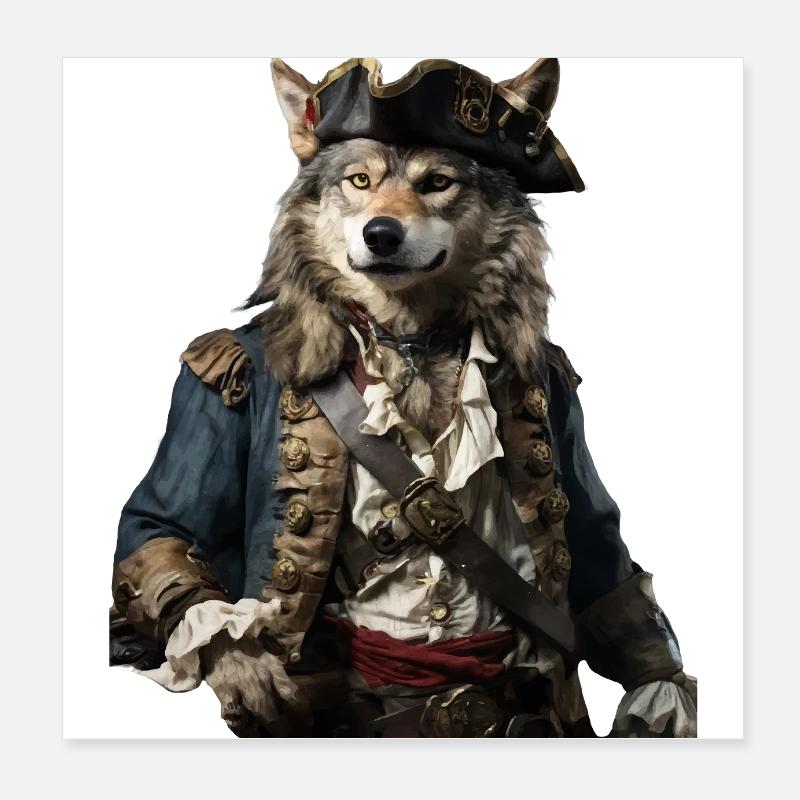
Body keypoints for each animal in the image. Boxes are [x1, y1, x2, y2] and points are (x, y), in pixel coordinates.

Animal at [110, 58, 696, 738]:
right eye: (359, 180)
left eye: (438, 182)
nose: (382, 234)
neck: (410, 339)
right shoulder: (210, 388)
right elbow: (160, 527)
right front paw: (243, 664)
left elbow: (602, 553)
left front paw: (661, 694)